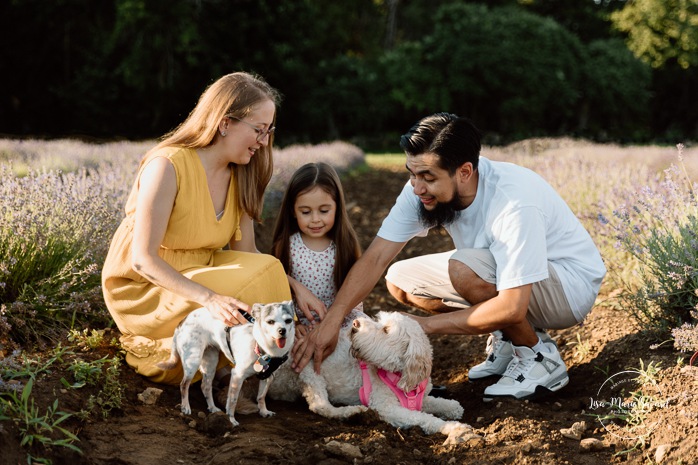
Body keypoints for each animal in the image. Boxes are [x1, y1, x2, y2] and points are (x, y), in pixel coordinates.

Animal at [158, 300, 294, 424]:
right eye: (270, 322)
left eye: (289, 321)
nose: (282, 330)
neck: (264, 349)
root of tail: (182, 322)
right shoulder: (237, 376)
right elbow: (232, 400)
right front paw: (231, 419)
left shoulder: (267, 377)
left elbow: (261, 396)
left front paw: (264, 412)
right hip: (193, 362)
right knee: (184, 384)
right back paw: (186, 406)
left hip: (210, 363)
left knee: (205, 386)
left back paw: (213, 408)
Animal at [266, 310, 478, 440]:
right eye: (380, 322)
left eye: (385, 329)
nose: (355, 323)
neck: (399, 374)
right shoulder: (387, 408)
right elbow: (425, 418)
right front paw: (454, 428)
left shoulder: (422, 399)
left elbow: (439, 403)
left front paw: (453, 408)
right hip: (309, 367)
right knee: (320, 406)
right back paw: (352, 412)